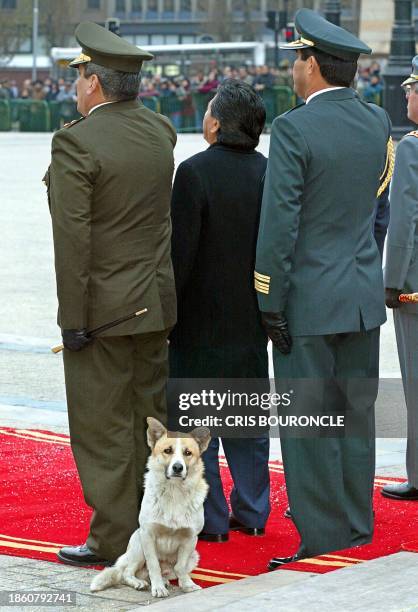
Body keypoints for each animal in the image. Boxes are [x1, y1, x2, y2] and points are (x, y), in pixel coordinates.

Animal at [90, 416, 211, 596]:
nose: (177, 467)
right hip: (138, 545)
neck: (174, 492)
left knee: (166, 571)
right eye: (167, 450)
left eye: (188, 453)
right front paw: (158, 588)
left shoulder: (190, 538)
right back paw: (140, 582)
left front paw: (187, 585)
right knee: (127, 572)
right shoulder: (148, 535)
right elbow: (154, 565)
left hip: (194, 555)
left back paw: (165, 581)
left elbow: (180, 567)